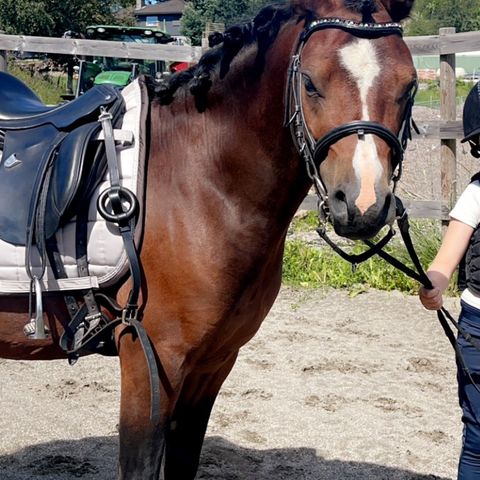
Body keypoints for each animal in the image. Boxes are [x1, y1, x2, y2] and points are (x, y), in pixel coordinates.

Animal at [0, 0, 416, 478]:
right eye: (311, 83)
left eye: (409, 87)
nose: (364, 205)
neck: (201, 182)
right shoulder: (150, 361)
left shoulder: (213, 363)